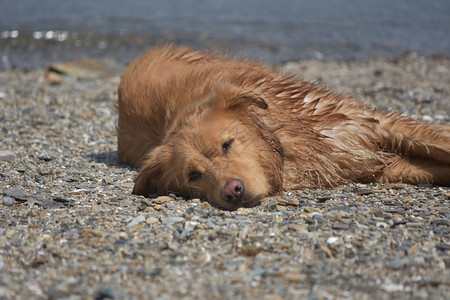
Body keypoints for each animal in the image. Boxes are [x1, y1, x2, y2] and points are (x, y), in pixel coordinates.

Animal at [117, 45, 450, 210]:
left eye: (227, 144)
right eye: (194, 176)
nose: (232, 191)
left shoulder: (374, 124)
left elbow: (440, 141)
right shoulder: (377, 168)